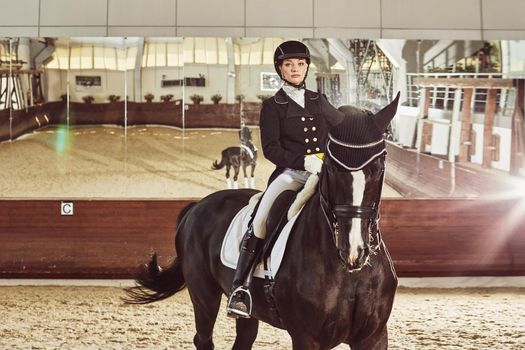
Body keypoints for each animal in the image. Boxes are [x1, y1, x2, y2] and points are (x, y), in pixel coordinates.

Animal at [125, 96, 400, 350]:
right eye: (331, 168)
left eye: (379, 167)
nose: (354, 251)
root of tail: (197, 206)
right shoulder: (307, 338)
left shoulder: (374, 337)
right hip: (204, 295)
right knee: (203, 338)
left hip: (248, 312)